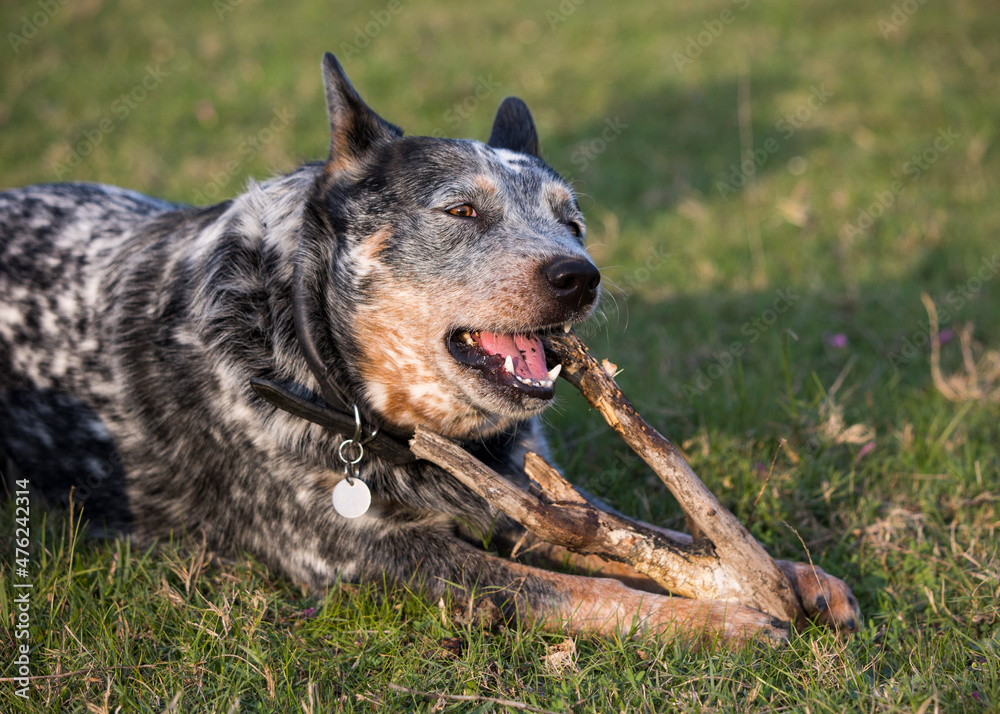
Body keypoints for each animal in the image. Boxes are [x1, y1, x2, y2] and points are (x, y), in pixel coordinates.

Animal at [0, 51, 860, 640]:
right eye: (462, 212)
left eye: (573, 221)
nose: (579, 276)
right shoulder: (361, 556)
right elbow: (573, 588)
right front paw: (720, 620)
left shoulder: (515, 492)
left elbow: (657, 533)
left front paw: (793, 576)